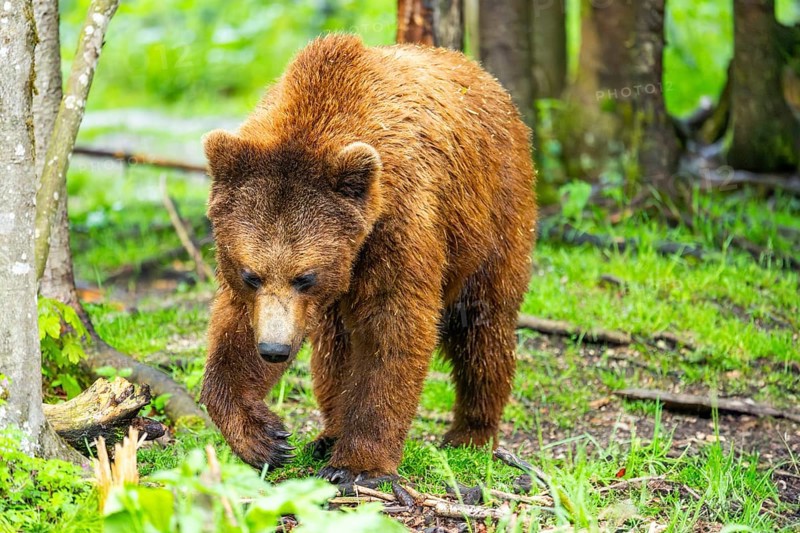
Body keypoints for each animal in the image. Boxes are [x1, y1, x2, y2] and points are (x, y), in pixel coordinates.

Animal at [200, 33, 536, 483]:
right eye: (251, 274)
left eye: (305, 276)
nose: (274, 349)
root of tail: (484, 76)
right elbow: (235, 330)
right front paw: (263, 437)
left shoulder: (398, 222)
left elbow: (392, 327)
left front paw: (359, 465)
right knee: (334, 349)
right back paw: (329, 434)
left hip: (494, 216)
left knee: (482, 328)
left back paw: (471, 433)